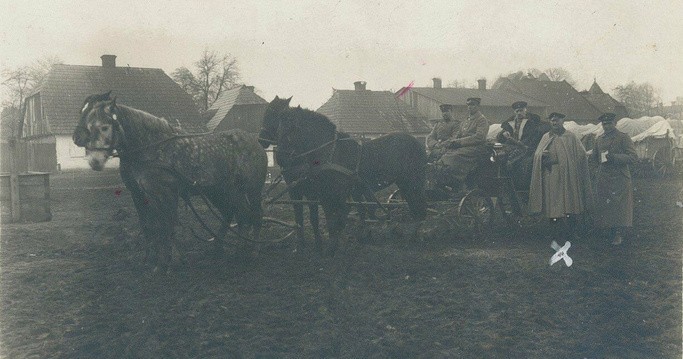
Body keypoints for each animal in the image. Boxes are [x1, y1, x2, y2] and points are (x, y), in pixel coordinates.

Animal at [73, 93, 268, 272]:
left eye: (105, 127)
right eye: (89, 125)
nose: (94, 161)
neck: (154, 148)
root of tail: (255, 142)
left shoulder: (166, 192)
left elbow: (167, 224)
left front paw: (166, 263)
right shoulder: (146, 194)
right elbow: (153, 226)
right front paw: (156, 260)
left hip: (252, 189)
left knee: (255, 215)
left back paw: (252, 251)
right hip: (226, 191)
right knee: (240, 214)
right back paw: (233, 250)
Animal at [260, 94, 424, 255]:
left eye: (293, 128)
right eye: (280, 126)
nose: (280, 157)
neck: (329, 152)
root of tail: (417, 143)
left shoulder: (331, 192)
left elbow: (336, 216)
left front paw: (332, 245)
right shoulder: (320, 192)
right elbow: (330, 216)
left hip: (412, 182)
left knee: (418, 208)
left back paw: (412, 237)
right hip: (404, 183)